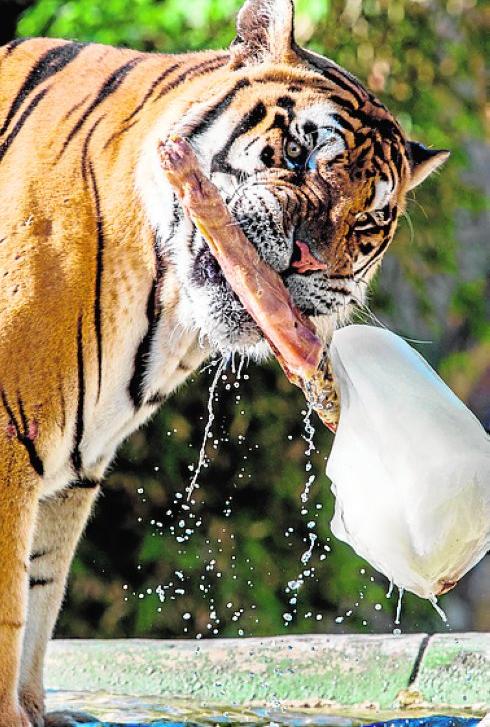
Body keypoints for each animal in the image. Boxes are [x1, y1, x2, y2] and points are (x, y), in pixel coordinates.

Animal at [0, 0, 448, 724]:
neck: (165, 312)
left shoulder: (71, 473)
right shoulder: (10, 448)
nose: (306, 258)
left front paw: (36, 709)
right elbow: (10, 613)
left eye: (366, 224)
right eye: (296, 153)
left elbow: (38, 599)